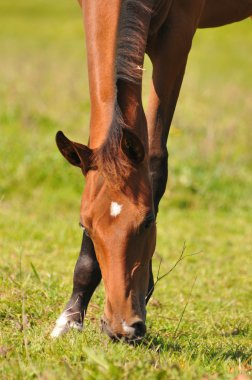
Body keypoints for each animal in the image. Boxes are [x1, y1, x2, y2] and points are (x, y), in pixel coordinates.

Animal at [51, 0, 252, 342]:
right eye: (84, 225)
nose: (120, 328)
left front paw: (143, 299)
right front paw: (70, 317)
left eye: (148, 221)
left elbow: (156, 158)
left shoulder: (177, 34)